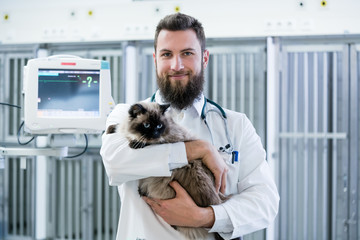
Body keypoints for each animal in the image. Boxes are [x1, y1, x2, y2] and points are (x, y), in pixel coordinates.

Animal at [105, 101, 226, 240]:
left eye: (159, 126)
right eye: (147, 125)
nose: (155, 134)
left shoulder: (166, 140)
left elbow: (143, 142)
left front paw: (134, 143)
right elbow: (118, 127)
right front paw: (110, 129)